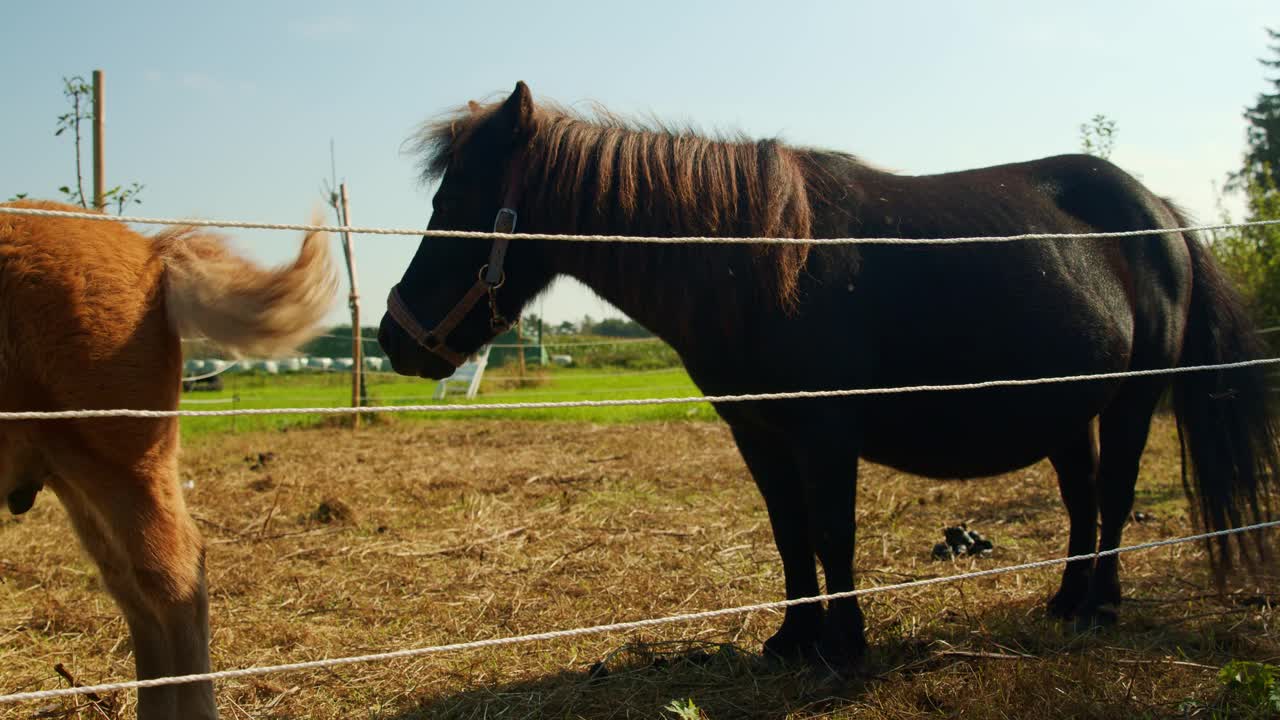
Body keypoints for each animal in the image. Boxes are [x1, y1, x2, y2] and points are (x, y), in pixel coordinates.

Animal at [378, 83, 1280, 666]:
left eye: (456, 204)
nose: (395, 338)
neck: (759, 262)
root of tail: (1160, 212)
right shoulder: (759, 434)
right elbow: (790, 534)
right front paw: (793, 639)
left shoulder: (825, 433)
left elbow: (832, 533)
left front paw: (845, 646)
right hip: (1064, 413)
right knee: (1084, 503)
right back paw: (1064, 602)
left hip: (1130, 403)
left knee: (1116, 500)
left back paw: (1100, 608)